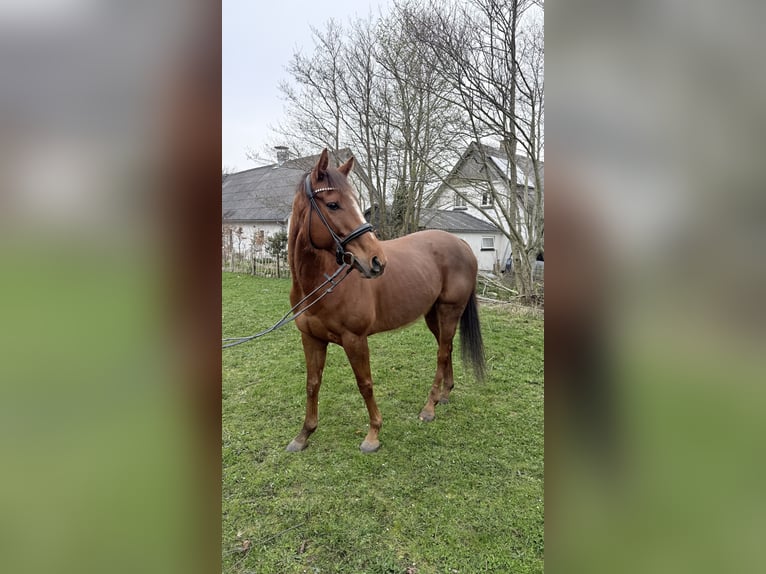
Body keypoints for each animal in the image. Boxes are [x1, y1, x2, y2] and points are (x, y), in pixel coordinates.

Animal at [286, 148, 485, 452]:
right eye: (333, 205)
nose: (376, 261)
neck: (321, 284)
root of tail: (461, 243)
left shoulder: (355, 339)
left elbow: (365, 383)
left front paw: (373, 434)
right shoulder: (311, 338)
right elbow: (312, 383)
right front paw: (304, 434)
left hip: (450, 311)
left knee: (441, 354)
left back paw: (429, 408)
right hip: (433, 315)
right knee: (447, 348)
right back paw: (444, 395)